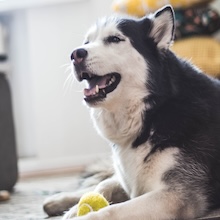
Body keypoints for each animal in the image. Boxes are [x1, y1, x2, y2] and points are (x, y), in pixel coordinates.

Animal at [43, 5, 220, 220]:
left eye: (114, 39)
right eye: (87, 42)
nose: (75, 54)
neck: (153, 111)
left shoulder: (174, 196)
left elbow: (111, 210)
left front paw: (83, 214)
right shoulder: (130, 178)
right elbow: (103, 185)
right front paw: (75, 208)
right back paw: (58, 200)